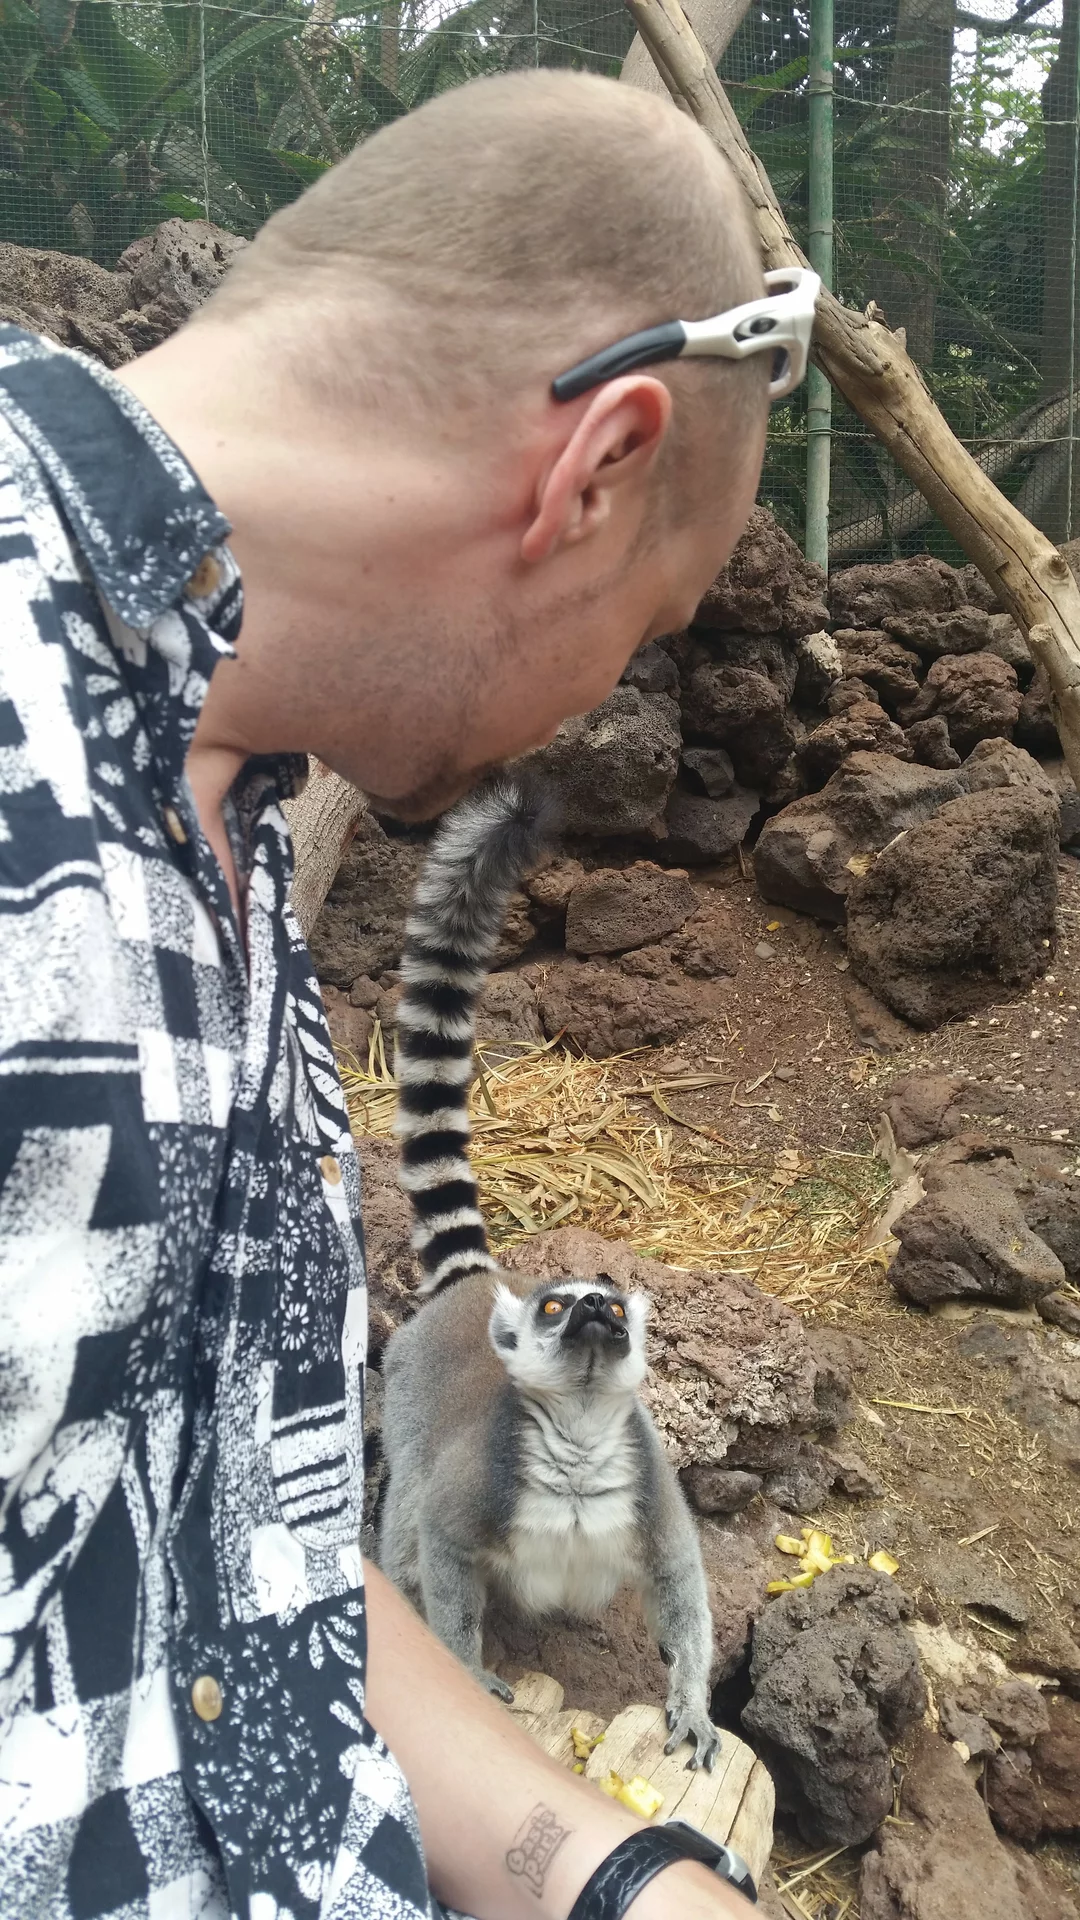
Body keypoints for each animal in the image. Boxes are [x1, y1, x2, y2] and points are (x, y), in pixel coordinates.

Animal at [376, 776, 721, 1769]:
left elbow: (683, 1582)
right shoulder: (474, 1492)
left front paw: (692, 1705)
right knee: (404, 1532)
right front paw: (467, 1673)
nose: (598, 1317)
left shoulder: (650, 1485)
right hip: (404, 1404)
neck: (576, 1441)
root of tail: (463, 1293)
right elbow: (441, 1555)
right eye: (560, 1307)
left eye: (615, 1308)